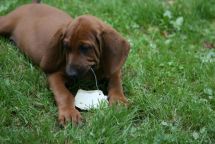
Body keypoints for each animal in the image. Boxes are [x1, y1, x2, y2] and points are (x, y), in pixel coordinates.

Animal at [0, 0, 129, 124]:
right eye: (66, 46)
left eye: (85, 47)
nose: (70, 73)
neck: (93, 70)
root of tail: (32, 4)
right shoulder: (54, 75)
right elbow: (64, 94)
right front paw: (69, 113)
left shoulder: (113, 68)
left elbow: (116, 83)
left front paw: (118, 99)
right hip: (5, 23)